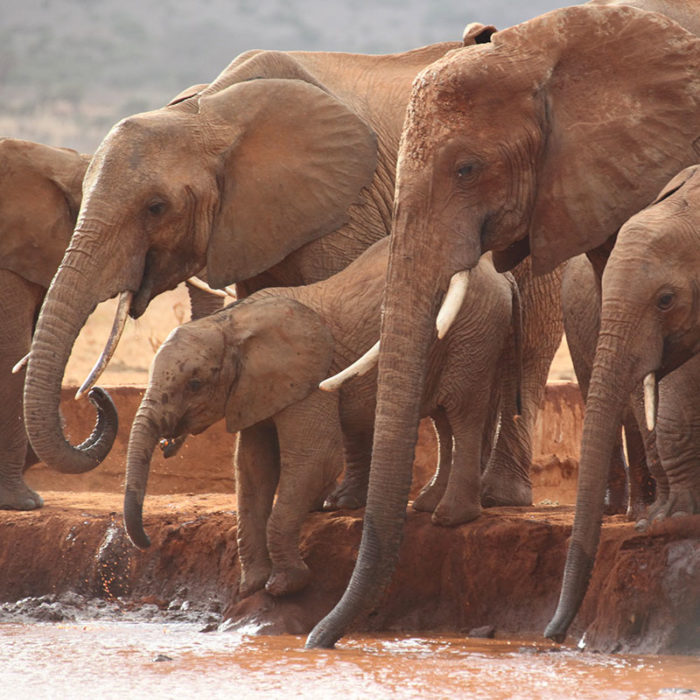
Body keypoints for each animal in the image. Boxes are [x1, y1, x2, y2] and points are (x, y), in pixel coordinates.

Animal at [124, 238, 520, 600]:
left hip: (473, 333)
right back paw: (428, 504)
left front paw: (285, 586)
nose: (144, 542)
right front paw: (252, 586)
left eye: (194, 384)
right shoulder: (254, 390)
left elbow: (316, 458)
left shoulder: (309, 381)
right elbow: (252, 469)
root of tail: (496, 272)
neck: (231, 324)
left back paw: (450, 516)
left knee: (461, 411)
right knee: (443, 420)